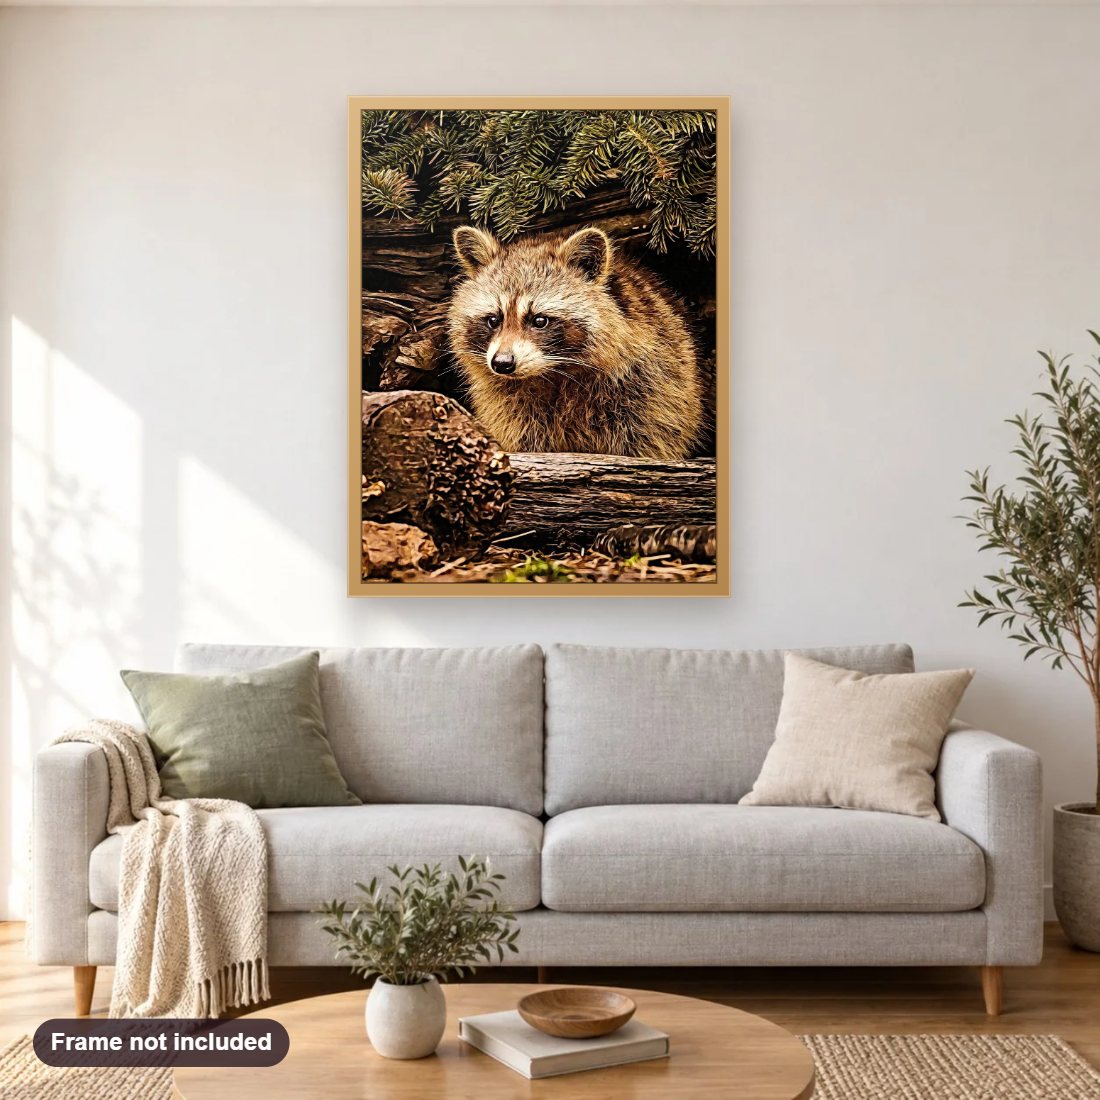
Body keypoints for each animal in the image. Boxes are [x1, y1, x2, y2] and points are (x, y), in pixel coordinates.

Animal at [446, 225, 703, 460]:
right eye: (493, 320)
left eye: (539, 320)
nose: (502, 363)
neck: (553, 374)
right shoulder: (509, 410)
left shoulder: (651, 391)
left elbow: (649, 438)